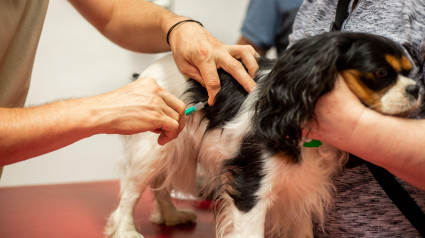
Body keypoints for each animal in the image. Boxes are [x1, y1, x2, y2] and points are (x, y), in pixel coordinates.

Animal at [105, 31, 420, 238]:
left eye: (412, 73)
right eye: (381, 73)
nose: (416, 89)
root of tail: (147, 72)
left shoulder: (303, 189)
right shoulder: (249, 188)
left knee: (159, 185)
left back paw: (169, 215)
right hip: (152, 150)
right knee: (131, 192)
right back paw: (126, 231)